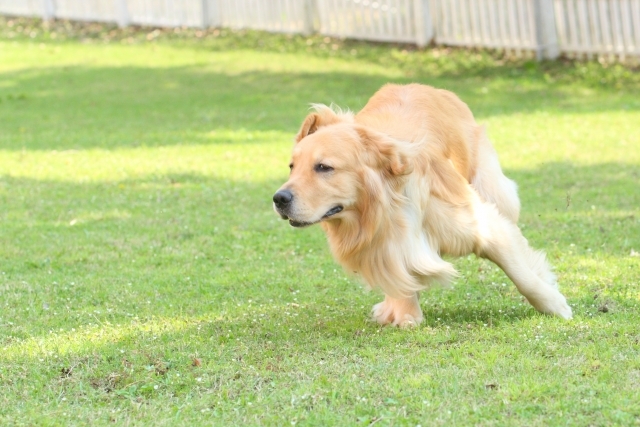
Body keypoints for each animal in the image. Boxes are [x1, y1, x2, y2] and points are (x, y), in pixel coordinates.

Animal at [272, 84, 572, 328]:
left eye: (324, 167)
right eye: (292, 167)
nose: (279, 199)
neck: (385, 205)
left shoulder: (483, 223)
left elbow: (522, 274)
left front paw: (555, 304)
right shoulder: (383, 244)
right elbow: (399, 270)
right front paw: (405, 312)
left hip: (495, 188)